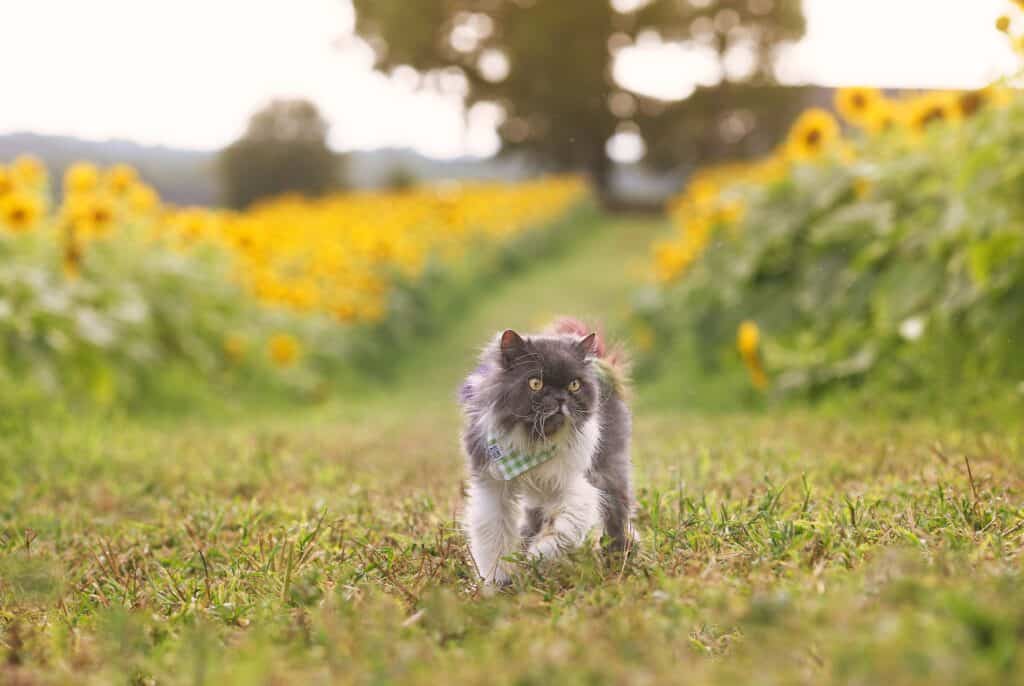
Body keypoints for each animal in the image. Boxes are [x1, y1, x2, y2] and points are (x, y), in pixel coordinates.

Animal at [458, 317, 630, 585]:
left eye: (574, 385)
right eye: (535, 383)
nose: (560, 399)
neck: (534, 441)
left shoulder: (573, 483)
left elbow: (566, 526)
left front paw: (539, 554)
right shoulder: (493, 486)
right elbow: (493, 537)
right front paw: (497, 582)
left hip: (608, 469)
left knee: (617, 512)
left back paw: (619, 557)